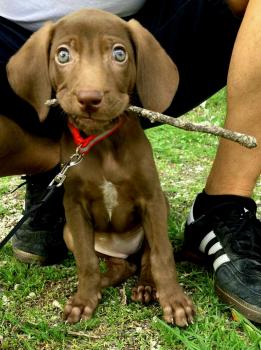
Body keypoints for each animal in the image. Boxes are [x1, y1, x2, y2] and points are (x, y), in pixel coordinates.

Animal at [7, 8, 194, 326]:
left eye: (119, 54)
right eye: (63, 55)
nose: (89, 98)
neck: (102, 142)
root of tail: (123, 249)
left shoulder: (152, 200)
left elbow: (162, 257)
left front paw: (174, 301)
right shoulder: (74, 206)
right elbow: (86, 260)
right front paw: (84, 300)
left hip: (158, 213)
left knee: (145, 261)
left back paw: (147, 287)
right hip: (70, 232)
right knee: (118, 268)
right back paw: (100, 284)